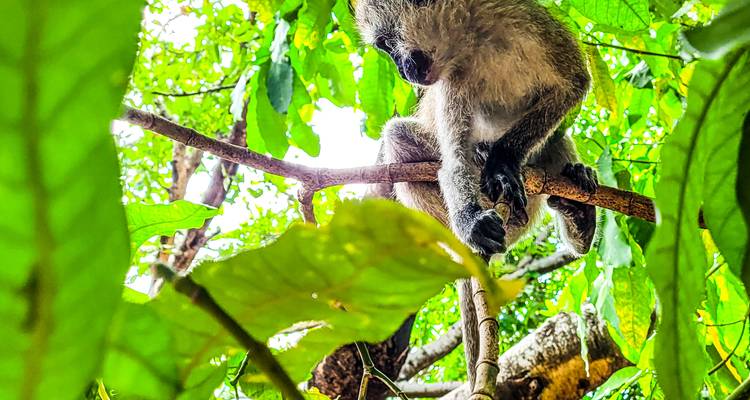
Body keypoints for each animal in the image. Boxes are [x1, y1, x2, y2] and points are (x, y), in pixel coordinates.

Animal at [355, 0, 598, 258]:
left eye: (387, 44)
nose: (402, 71)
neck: (478, 40)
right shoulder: (452, 80)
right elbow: (455, 162)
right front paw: (470, 220)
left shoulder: (534, 24)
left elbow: (574, 83)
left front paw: (502, 158)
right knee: (396, 136)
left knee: (555, 138)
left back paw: (579, 216)